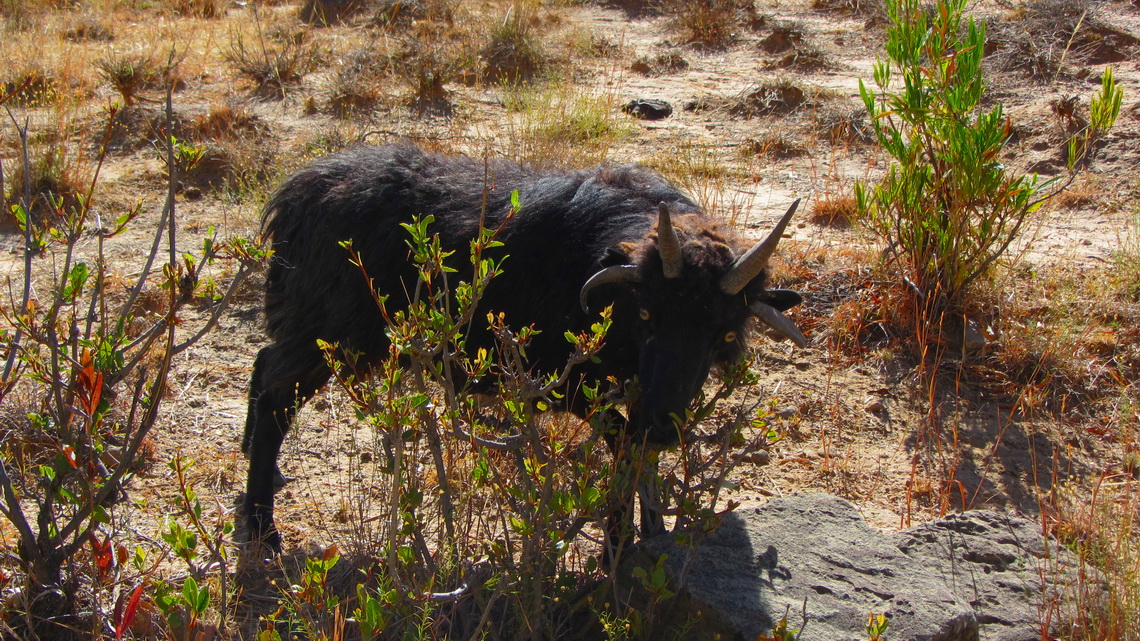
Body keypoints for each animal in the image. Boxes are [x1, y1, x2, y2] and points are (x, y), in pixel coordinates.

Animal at [245, 143, 807, 549]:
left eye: (724, 334)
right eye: (647, 314)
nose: (665, 427)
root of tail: (297, 193)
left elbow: (637, 452)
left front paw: (650, 535)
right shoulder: (569, 383)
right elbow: (625, 446)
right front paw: (620, 545)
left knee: (263, 363)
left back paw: (263, 468)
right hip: (329, 333)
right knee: (275, 398)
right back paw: (260, 529)